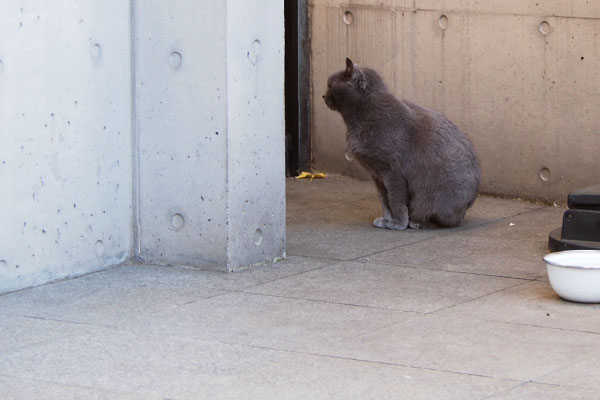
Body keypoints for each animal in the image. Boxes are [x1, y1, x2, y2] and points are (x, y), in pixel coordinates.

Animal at [322, 57, 480, 230]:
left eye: (330, 85)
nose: (323, 95)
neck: (359, 118)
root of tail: (469, 204)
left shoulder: (393, 171)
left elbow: (395, 200)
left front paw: (398, 223)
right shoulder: (376, 175)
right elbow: (384, 201)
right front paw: (386, 220)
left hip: (432, 196)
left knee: (441, 217)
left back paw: (417, 222)